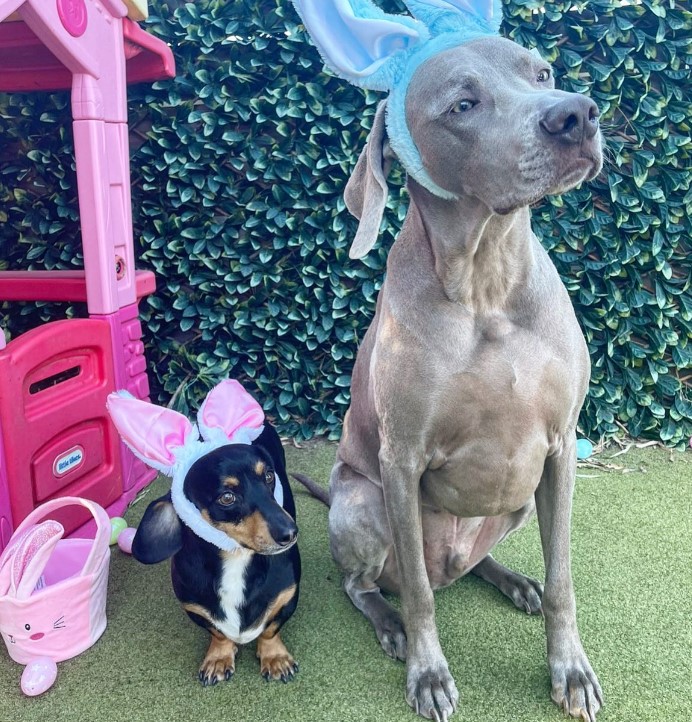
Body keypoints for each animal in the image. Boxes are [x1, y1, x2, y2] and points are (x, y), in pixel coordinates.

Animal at [294, 1, 604, 720]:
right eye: (463, 104)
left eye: (542, 73)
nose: (576, 114)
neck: (487, 281)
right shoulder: (401, 459)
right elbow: (418, 597)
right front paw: (427, 672)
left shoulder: (559, 448)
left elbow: (563, 580)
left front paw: (569, 668)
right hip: (362, 501)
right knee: (377, 584)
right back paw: (389, 624)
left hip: (517, 499)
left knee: (469, 566)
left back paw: (509, 578)